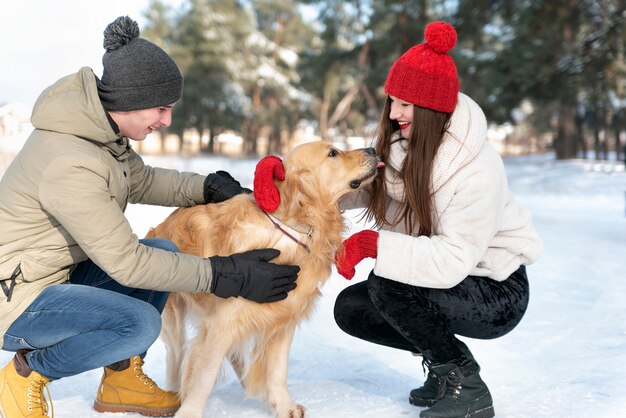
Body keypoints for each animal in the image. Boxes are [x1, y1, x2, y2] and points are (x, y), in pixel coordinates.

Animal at [146, 141, 380, 418]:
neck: (290, 229)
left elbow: (278, 370)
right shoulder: (220, 324)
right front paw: (190, 412)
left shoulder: (283, 319)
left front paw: (284, 405)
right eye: (333, 153)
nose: (373, 149)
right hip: (174, 318)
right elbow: (204, 376)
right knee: (177, 356)